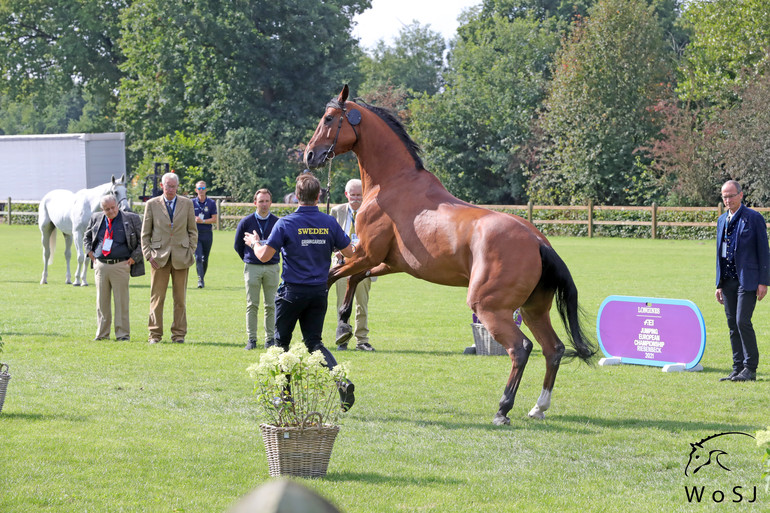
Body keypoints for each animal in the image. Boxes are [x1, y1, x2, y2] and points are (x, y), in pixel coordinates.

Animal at [304, 87, 592, 424]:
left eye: (328, 118)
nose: (310, 156)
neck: (393, 183)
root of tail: (538, 241)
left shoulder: (365, 252)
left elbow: (332, 276)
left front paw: (337, 325)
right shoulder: (389, 262)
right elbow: (354, 278)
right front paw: (343, 327)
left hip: (489, 307)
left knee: (521, 348)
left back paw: (503, 408)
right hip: (534, 309)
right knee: (554, 348)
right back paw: (538, 407)